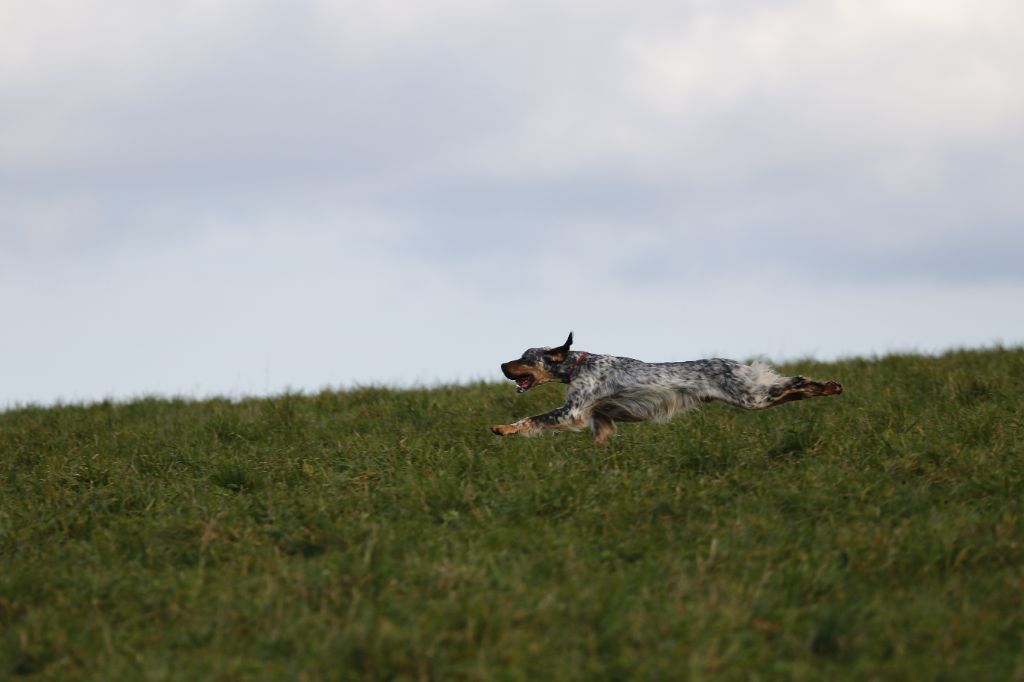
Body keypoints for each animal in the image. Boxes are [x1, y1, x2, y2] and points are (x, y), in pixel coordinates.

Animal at [491, 331, 843, 444]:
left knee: (794, 384)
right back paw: (827, 388)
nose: (502, 366)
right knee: (792, 388)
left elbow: (532, 419)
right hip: (753, 394)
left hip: (750, 396)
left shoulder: (571, 412)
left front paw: (502, 428)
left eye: (524, 358)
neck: (578, 365)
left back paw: (828, 386)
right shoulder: (601, 420)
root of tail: (736, 364)